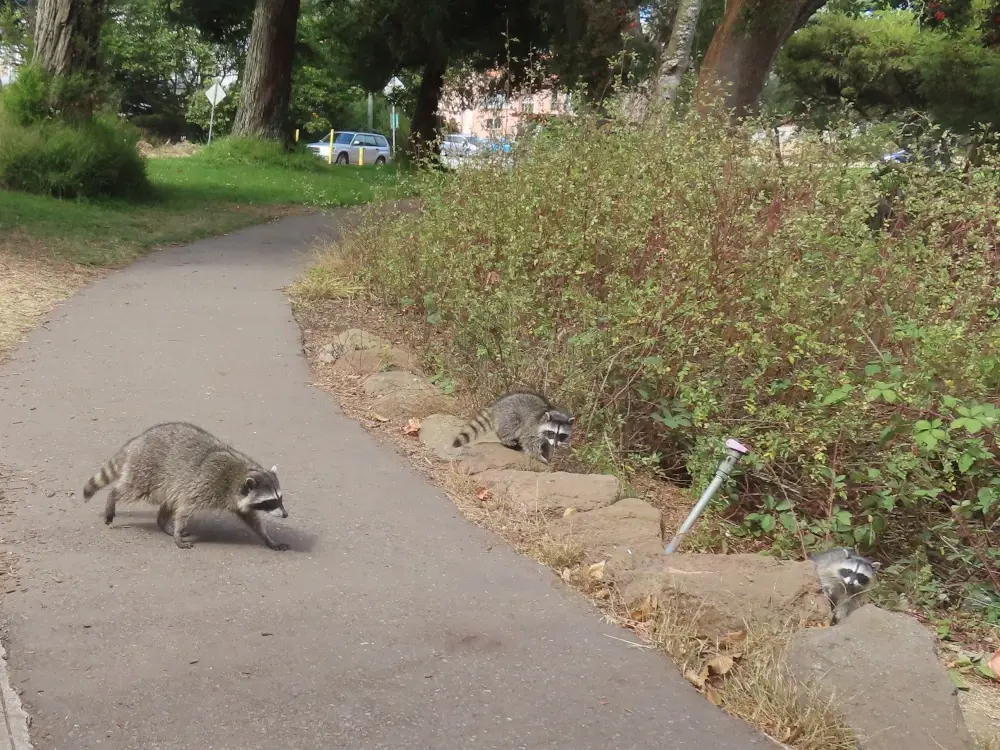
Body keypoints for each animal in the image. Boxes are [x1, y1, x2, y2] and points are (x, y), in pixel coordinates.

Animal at [81, 422, 289, 551]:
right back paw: (113, 498)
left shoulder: (237, 499)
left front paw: (268, 538)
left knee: (169, 500)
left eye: (280, 498)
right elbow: (185, 508)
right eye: (270, 502)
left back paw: (163, 523)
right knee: (130, 489)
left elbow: (251, 519)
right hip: (146, 470)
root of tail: (138, 440)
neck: (238, 475)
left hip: (168, 481)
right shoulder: (205, 484)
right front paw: (178, 532)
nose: (286, 514)